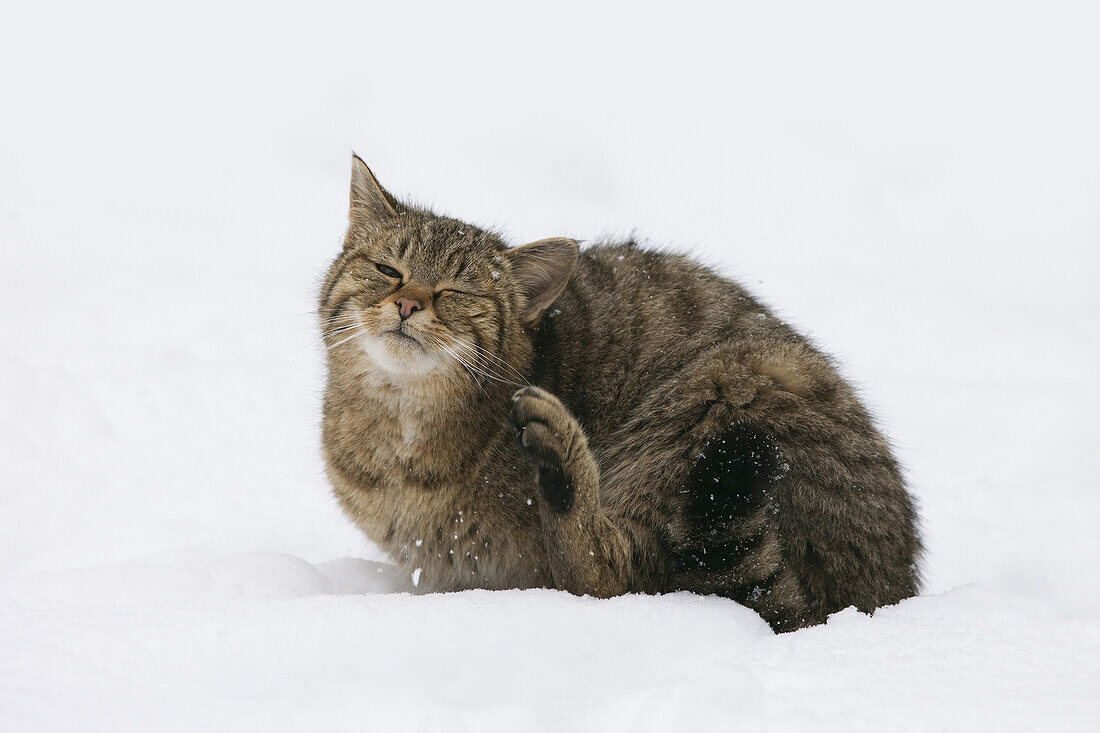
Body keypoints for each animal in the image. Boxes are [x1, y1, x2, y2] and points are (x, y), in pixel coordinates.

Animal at [321, 154, 919, 629]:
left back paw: (562, 464)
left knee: (614, 575)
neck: (402, 429)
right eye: (387, 270)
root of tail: (886, 591)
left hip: (718, 391)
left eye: (454, 292)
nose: (408, 304)